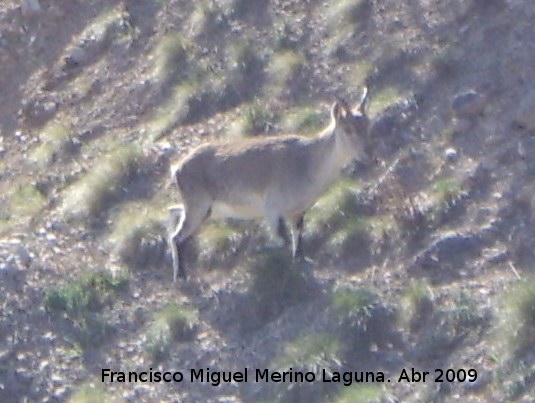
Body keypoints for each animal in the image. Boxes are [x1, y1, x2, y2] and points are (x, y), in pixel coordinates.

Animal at [170, 88, 370, 280]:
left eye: (367, 126)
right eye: (348, 129)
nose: (368, 155)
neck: (307, 161)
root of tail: (178, 168)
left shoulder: (298, 212)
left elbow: (297, 243)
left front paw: (299, 263)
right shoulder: (273, 209)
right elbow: (283, 241)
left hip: (208, 211)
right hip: (197, 206)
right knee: (176, 237)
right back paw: (180, 276)